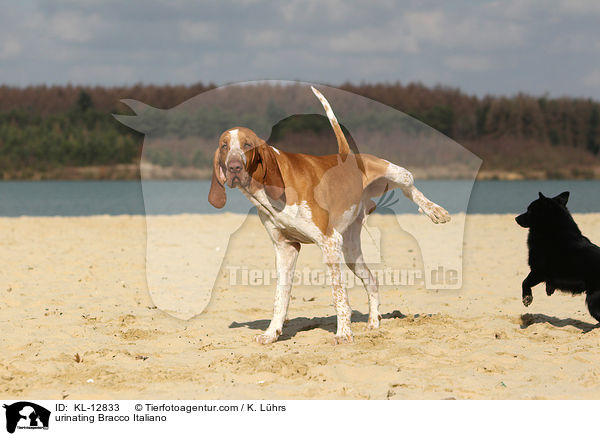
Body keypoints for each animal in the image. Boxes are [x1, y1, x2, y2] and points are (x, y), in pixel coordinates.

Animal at [209, 86, 448, 344]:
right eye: (224, 146)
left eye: (247, 145)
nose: (233, 167)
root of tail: (346, 154)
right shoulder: (286, 249)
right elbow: (280, 297)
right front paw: (272, 332)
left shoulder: (329, 242)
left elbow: (339, 296)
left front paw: (343, 332)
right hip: (351, 252)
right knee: (373, 282)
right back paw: (374, 322)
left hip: (391, 172)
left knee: (409, 183)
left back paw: (435, 210)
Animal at [516, 192, 600, 322]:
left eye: (529, 210)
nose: (516, 218)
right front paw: (549, 289)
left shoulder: (538, 271)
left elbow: (525, 282)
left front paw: (527, 298)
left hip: (593, 301)